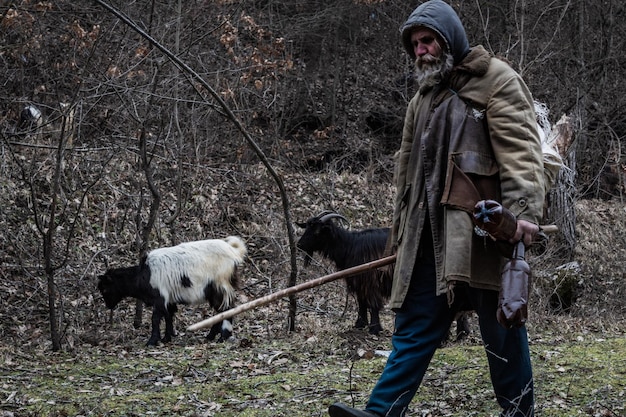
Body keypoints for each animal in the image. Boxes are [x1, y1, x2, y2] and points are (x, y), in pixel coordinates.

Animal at [96, 236, 245, 346]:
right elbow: (168, 315)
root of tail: (233, 252)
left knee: (226, 308)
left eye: (104, 288)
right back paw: (210, 336)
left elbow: (156, 318)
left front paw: (152, 341)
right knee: (220, 310)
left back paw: (223, 336)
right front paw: (167, 337)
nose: (108, 306)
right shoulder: (169, 298)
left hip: (220, 284)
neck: (143, 274)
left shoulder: (159, 297)